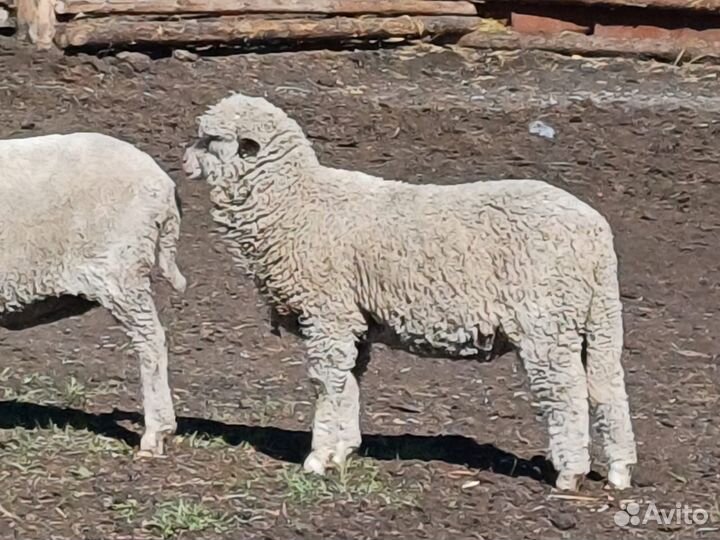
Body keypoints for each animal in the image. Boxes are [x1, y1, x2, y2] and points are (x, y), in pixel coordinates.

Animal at [183, 92, 637, 491]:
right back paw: (619, 471)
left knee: (567, 393)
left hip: (546, 322)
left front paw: (318, 457)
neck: (295, 202)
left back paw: (570, 474)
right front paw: (342, 451)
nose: (184, 160)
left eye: (211, 139)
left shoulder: (329, 313)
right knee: (608, 387)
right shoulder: (355, 320)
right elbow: (349, 383)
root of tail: (595, 232)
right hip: (594, 317)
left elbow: (327, 384)